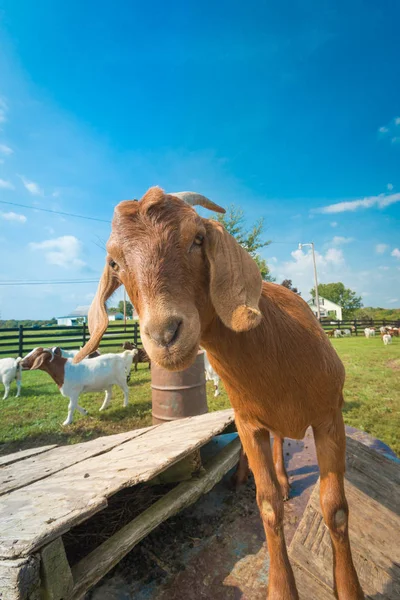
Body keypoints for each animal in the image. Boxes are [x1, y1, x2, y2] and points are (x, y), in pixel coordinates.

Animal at [76, 188, 366, 600]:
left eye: (197, 239)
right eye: (115, 262)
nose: (165, 334)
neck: (279, 351)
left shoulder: (329, 418)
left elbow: (336, 508)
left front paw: (349, 586)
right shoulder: (247, 423)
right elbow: (268, 506)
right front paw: (281, 586)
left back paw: (284, 477)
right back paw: (256, 476)